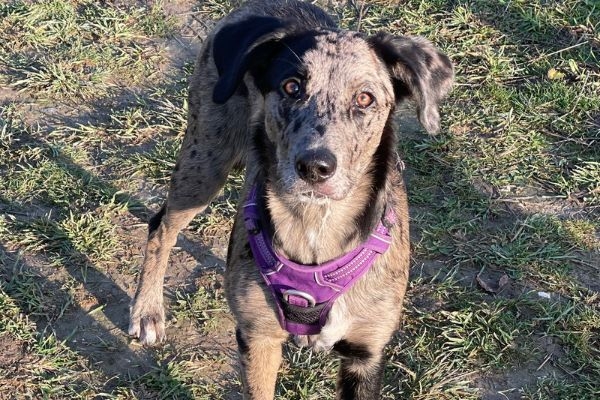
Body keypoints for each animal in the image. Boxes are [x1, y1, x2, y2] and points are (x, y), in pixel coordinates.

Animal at [129, 1, 452, 398]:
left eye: (365, 98)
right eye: (291, 86)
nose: (315, 167)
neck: (315, 223)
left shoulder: (366, 352)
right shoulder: (259, 338)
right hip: (205, 157)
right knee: (162, 226)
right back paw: (147, 312)